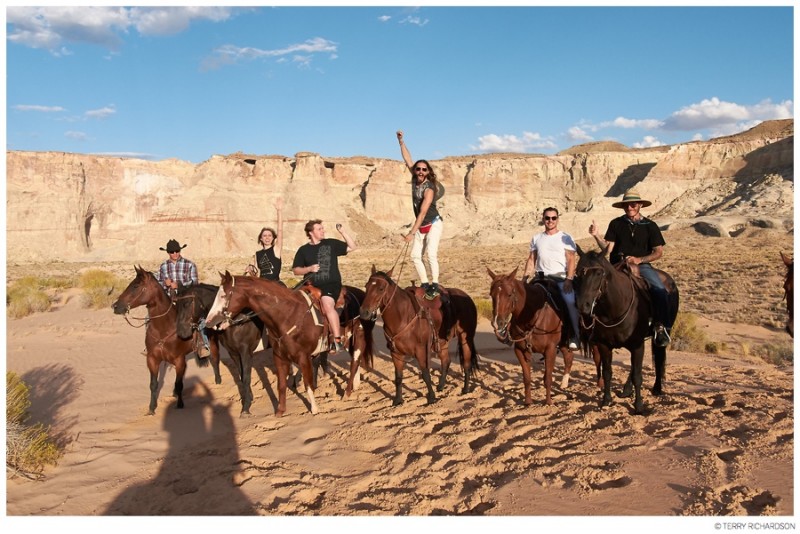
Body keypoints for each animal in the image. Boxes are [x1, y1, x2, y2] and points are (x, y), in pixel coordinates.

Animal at [111, 266, 198, 416]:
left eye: (135, 286)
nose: (115, 306)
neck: (164, 328)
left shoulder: (179, 360)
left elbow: (179, 383)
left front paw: (180, 404)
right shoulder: (152, 359)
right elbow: (153, 384)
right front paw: (151, 408)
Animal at [175, 282, 266, 416]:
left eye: (186, 303)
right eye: (176, 305)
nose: (181, 332)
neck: (235, 321)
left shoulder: (244, 352)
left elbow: (246, 377)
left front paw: (246, 408)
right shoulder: (233, 353)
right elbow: (241, 375)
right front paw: (248, 398)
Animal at [362, 268, 482, 410]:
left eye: (381, 288)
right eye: (366, 287)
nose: (364, 312)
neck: (403, 317)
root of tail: (467, 297)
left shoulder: (421, 350)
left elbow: (425, 374)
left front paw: (431, 398)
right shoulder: (395, 353)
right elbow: (398, 377)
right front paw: (398, 400)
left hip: (465, 338)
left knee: (467, 363)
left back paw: (465, 389)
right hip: (442, 343)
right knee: (446, 361)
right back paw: (441, 386)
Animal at [484, 268, 572, 406]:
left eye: (509, 294)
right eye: (491, 295)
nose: (497, 323)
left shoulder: (550, 350)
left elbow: (548, 378)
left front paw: (548, 402)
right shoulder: (520, 351)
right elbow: (527, 378)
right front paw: (528, 402)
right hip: (562, 343)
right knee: (568, 357)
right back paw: (564, 384)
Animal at [576, 249, 680, 416]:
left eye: (599, 273)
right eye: (578, 272)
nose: (582, 305)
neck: (614, 310)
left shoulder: (637, 345)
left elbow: (638, 375)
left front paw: (638, 406)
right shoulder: (604, 345)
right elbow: (607, 372)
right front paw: (606, 401)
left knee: (659, 356)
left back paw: (657, 388)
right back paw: (626, 389)